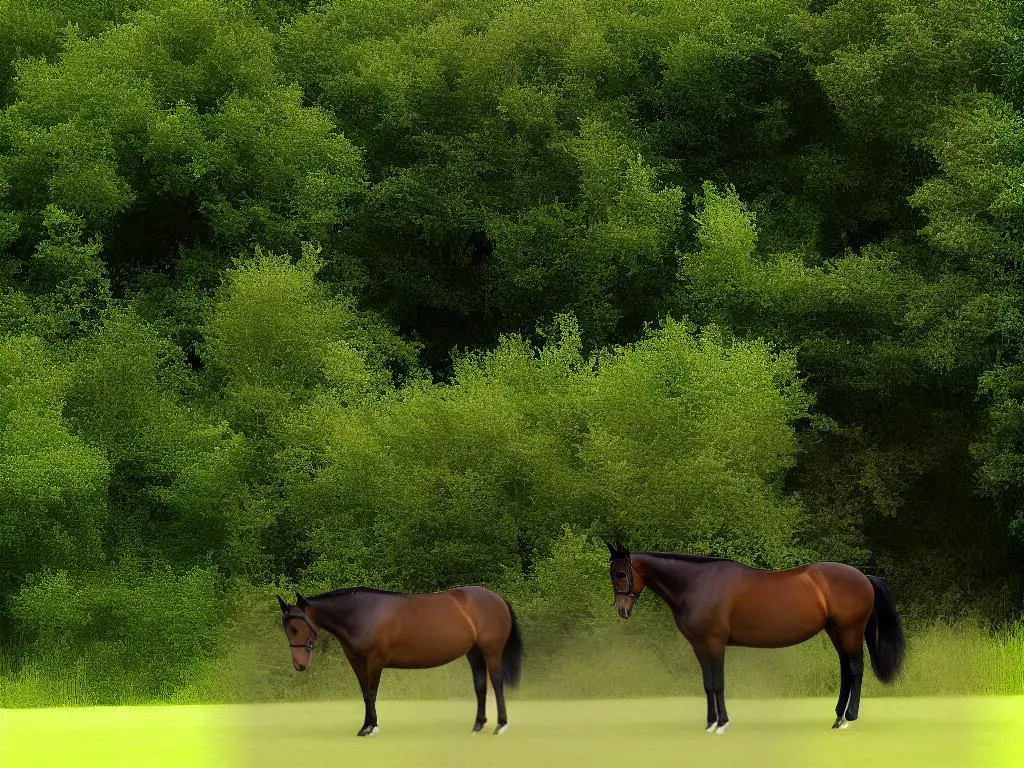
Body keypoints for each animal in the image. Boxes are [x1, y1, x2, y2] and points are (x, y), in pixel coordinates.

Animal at [276, 589, 524, 741]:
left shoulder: (374, 661)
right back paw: (478, 726)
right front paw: (365, 726)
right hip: (474, 654)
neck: (360, 615)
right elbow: (365, 694)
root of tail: (499, 599)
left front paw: (371, 728)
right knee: (480, 686)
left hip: (492, 651)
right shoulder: (357, 662)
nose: (300, 664)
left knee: (497, 683)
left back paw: (501, 725)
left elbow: (372, 693)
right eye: (287, 629)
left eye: (297, 627)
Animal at [602, 540, 909, 733]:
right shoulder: (699, 645)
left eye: (621, 573)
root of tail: (863, 577)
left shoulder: (714, 643)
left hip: (850, 631)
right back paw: (836, 718)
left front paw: (722, 723)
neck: (698, 585)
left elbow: (718, 683)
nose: (622, 610)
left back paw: (849, 718)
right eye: (613, 573)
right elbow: (707, 684)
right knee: (846, 671)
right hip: (836, 631)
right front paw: (710, 723)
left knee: (855, 669)